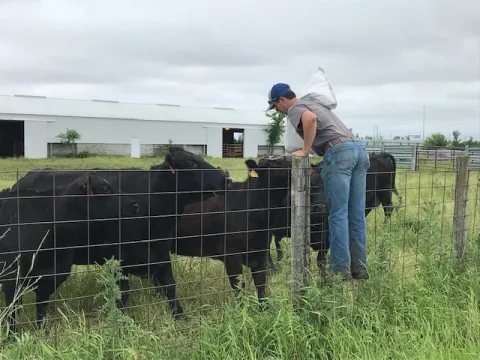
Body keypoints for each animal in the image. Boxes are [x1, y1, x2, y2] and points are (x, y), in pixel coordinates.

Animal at [0, 172, 139, 332]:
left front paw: (43, 331)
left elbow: (41, 308)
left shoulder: (51, 276)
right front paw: (12, 335)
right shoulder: (11, 277)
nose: (135, 205)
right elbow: (12, 310)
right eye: (105, 189)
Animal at [5, 148, 227, 320]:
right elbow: (123, 292)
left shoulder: (160, 250)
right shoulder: (117, 257)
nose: (226, 178)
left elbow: (170, 285)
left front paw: (179, 316)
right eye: (191, 162)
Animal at [171, 156, 290, 306]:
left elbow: (261, 285)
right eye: (271, 164)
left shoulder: (261, 251)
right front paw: (241, 310)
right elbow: (238, 287)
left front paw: (264, 309)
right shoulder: (231, 254)